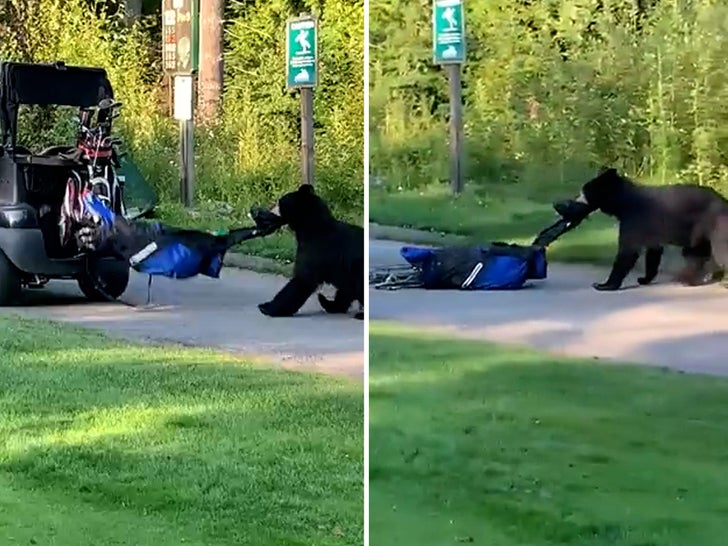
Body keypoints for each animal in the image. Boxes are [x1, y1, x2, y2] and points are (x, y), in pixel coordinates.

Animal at [253, 184, 364, 318]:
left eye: (279, 203)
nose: (258, 212)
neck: (310, 227)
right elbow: (345, 289)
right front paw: (330, 304)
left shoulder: (316, 249)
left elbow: (303, 279)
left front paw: (266, 307)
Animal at [572, 168, 724, 288]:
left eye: (583, 191)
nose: (575, 198)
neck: (623, 203)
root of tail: (722, 200)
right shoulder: (650, 228)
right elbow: (653, 252)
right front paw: (644, 279)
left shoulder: (634, 220)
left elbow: (627, 252)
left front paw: (604, 284)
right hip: (699, 234)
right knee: (696, 253)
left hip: (713, 224)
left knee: (717, 251)